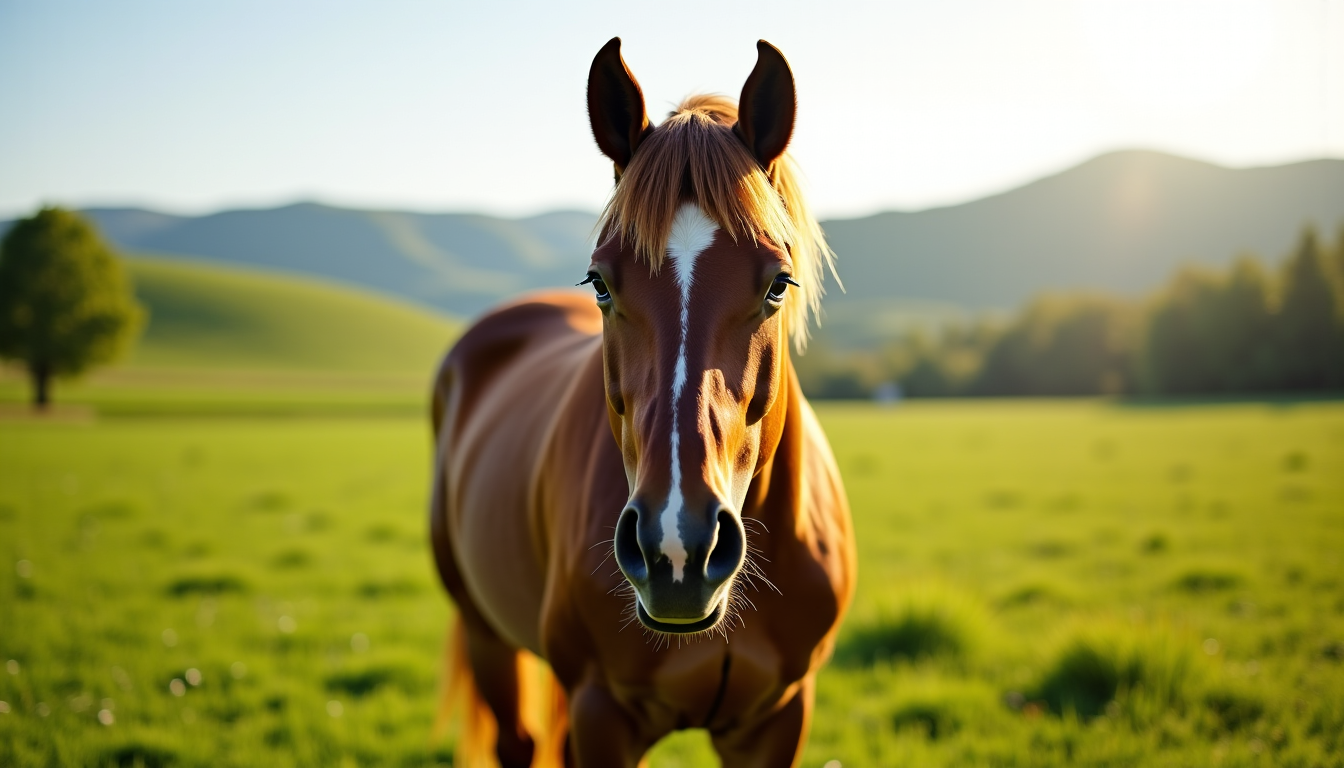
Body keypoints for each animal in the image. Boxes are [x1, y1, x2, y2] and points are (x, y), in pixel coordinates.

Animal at [429, 37, 855, 768]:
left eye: (778, 282)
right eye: (601, 281)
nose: (677, 549)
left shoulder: (778, 717)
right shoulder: (600, 713)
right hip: (485, 632)